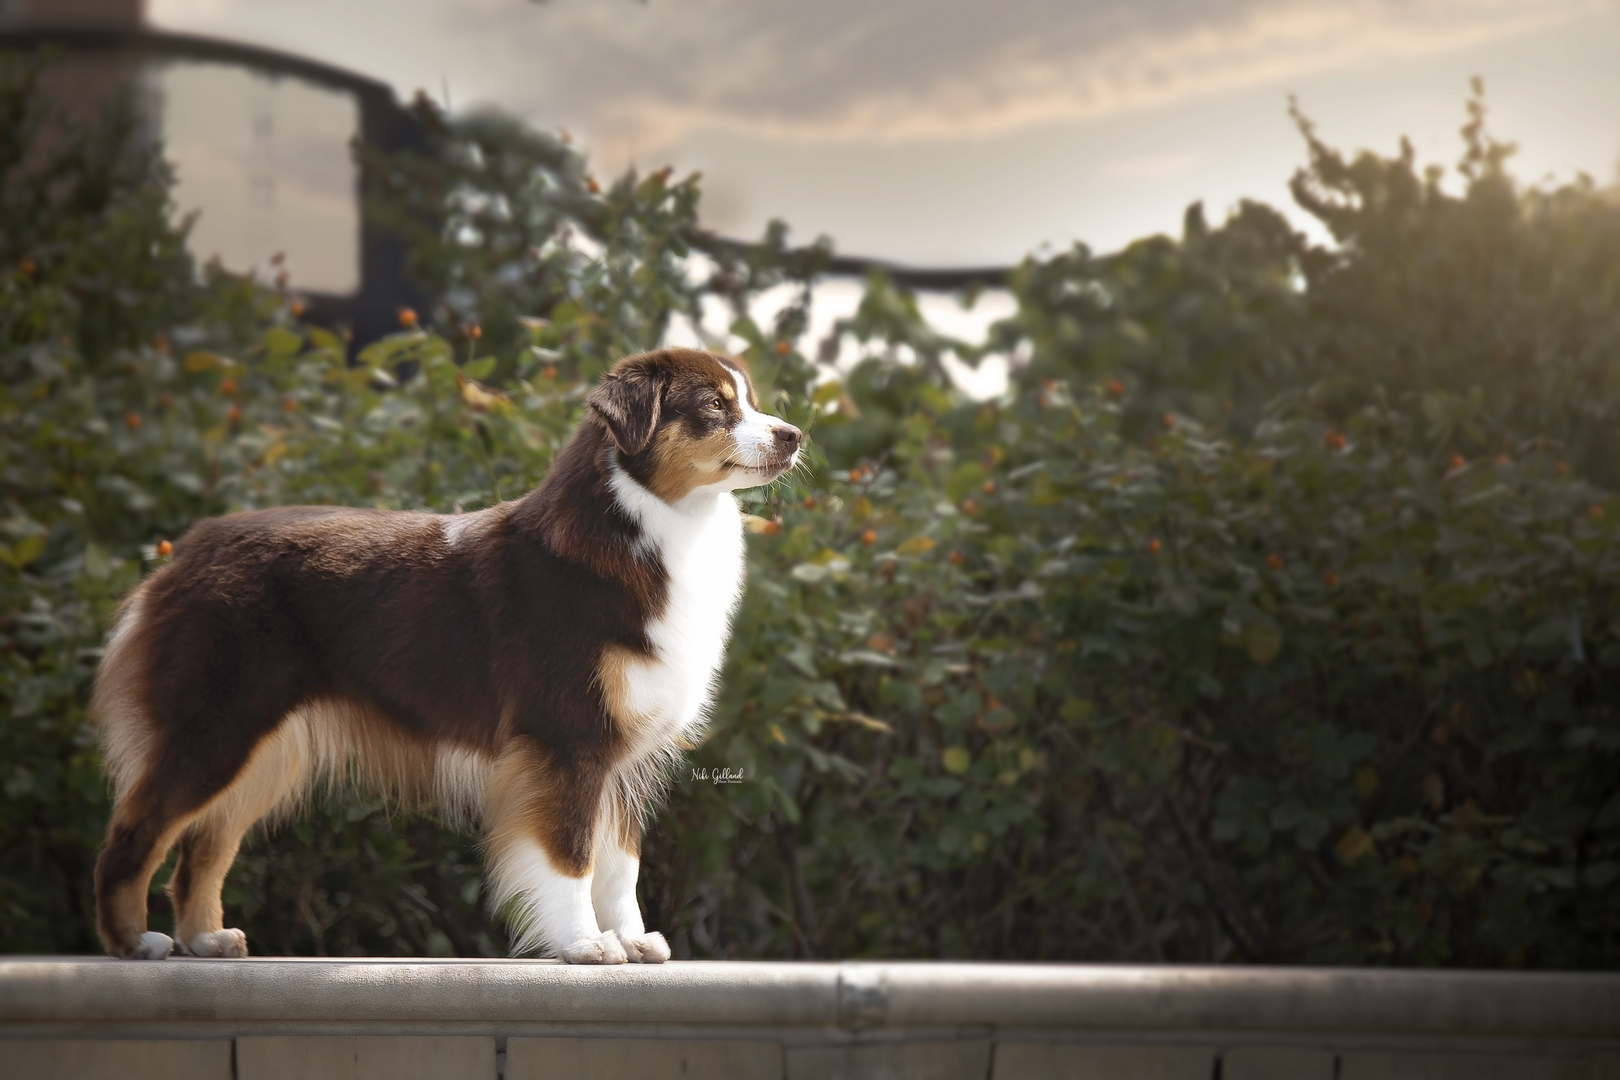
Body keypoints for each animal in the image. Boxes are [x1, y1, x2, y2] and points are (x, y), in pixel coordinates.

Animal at [87, 346, 803, 965]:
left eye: (750, 400)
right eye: (713, 407)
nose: (794, 435)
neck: (646, 523)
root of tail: (185, 552)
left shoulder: (622, 755)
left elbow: (620, 863)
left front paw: (631, 939)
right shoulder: (565, 737)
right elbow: (571, 854)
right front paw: (585, 945)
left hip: (262, 747)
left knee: (205, 845)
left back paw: (205, 939)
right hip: (216, 723)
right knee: (134, 833)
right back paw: (133, 943)